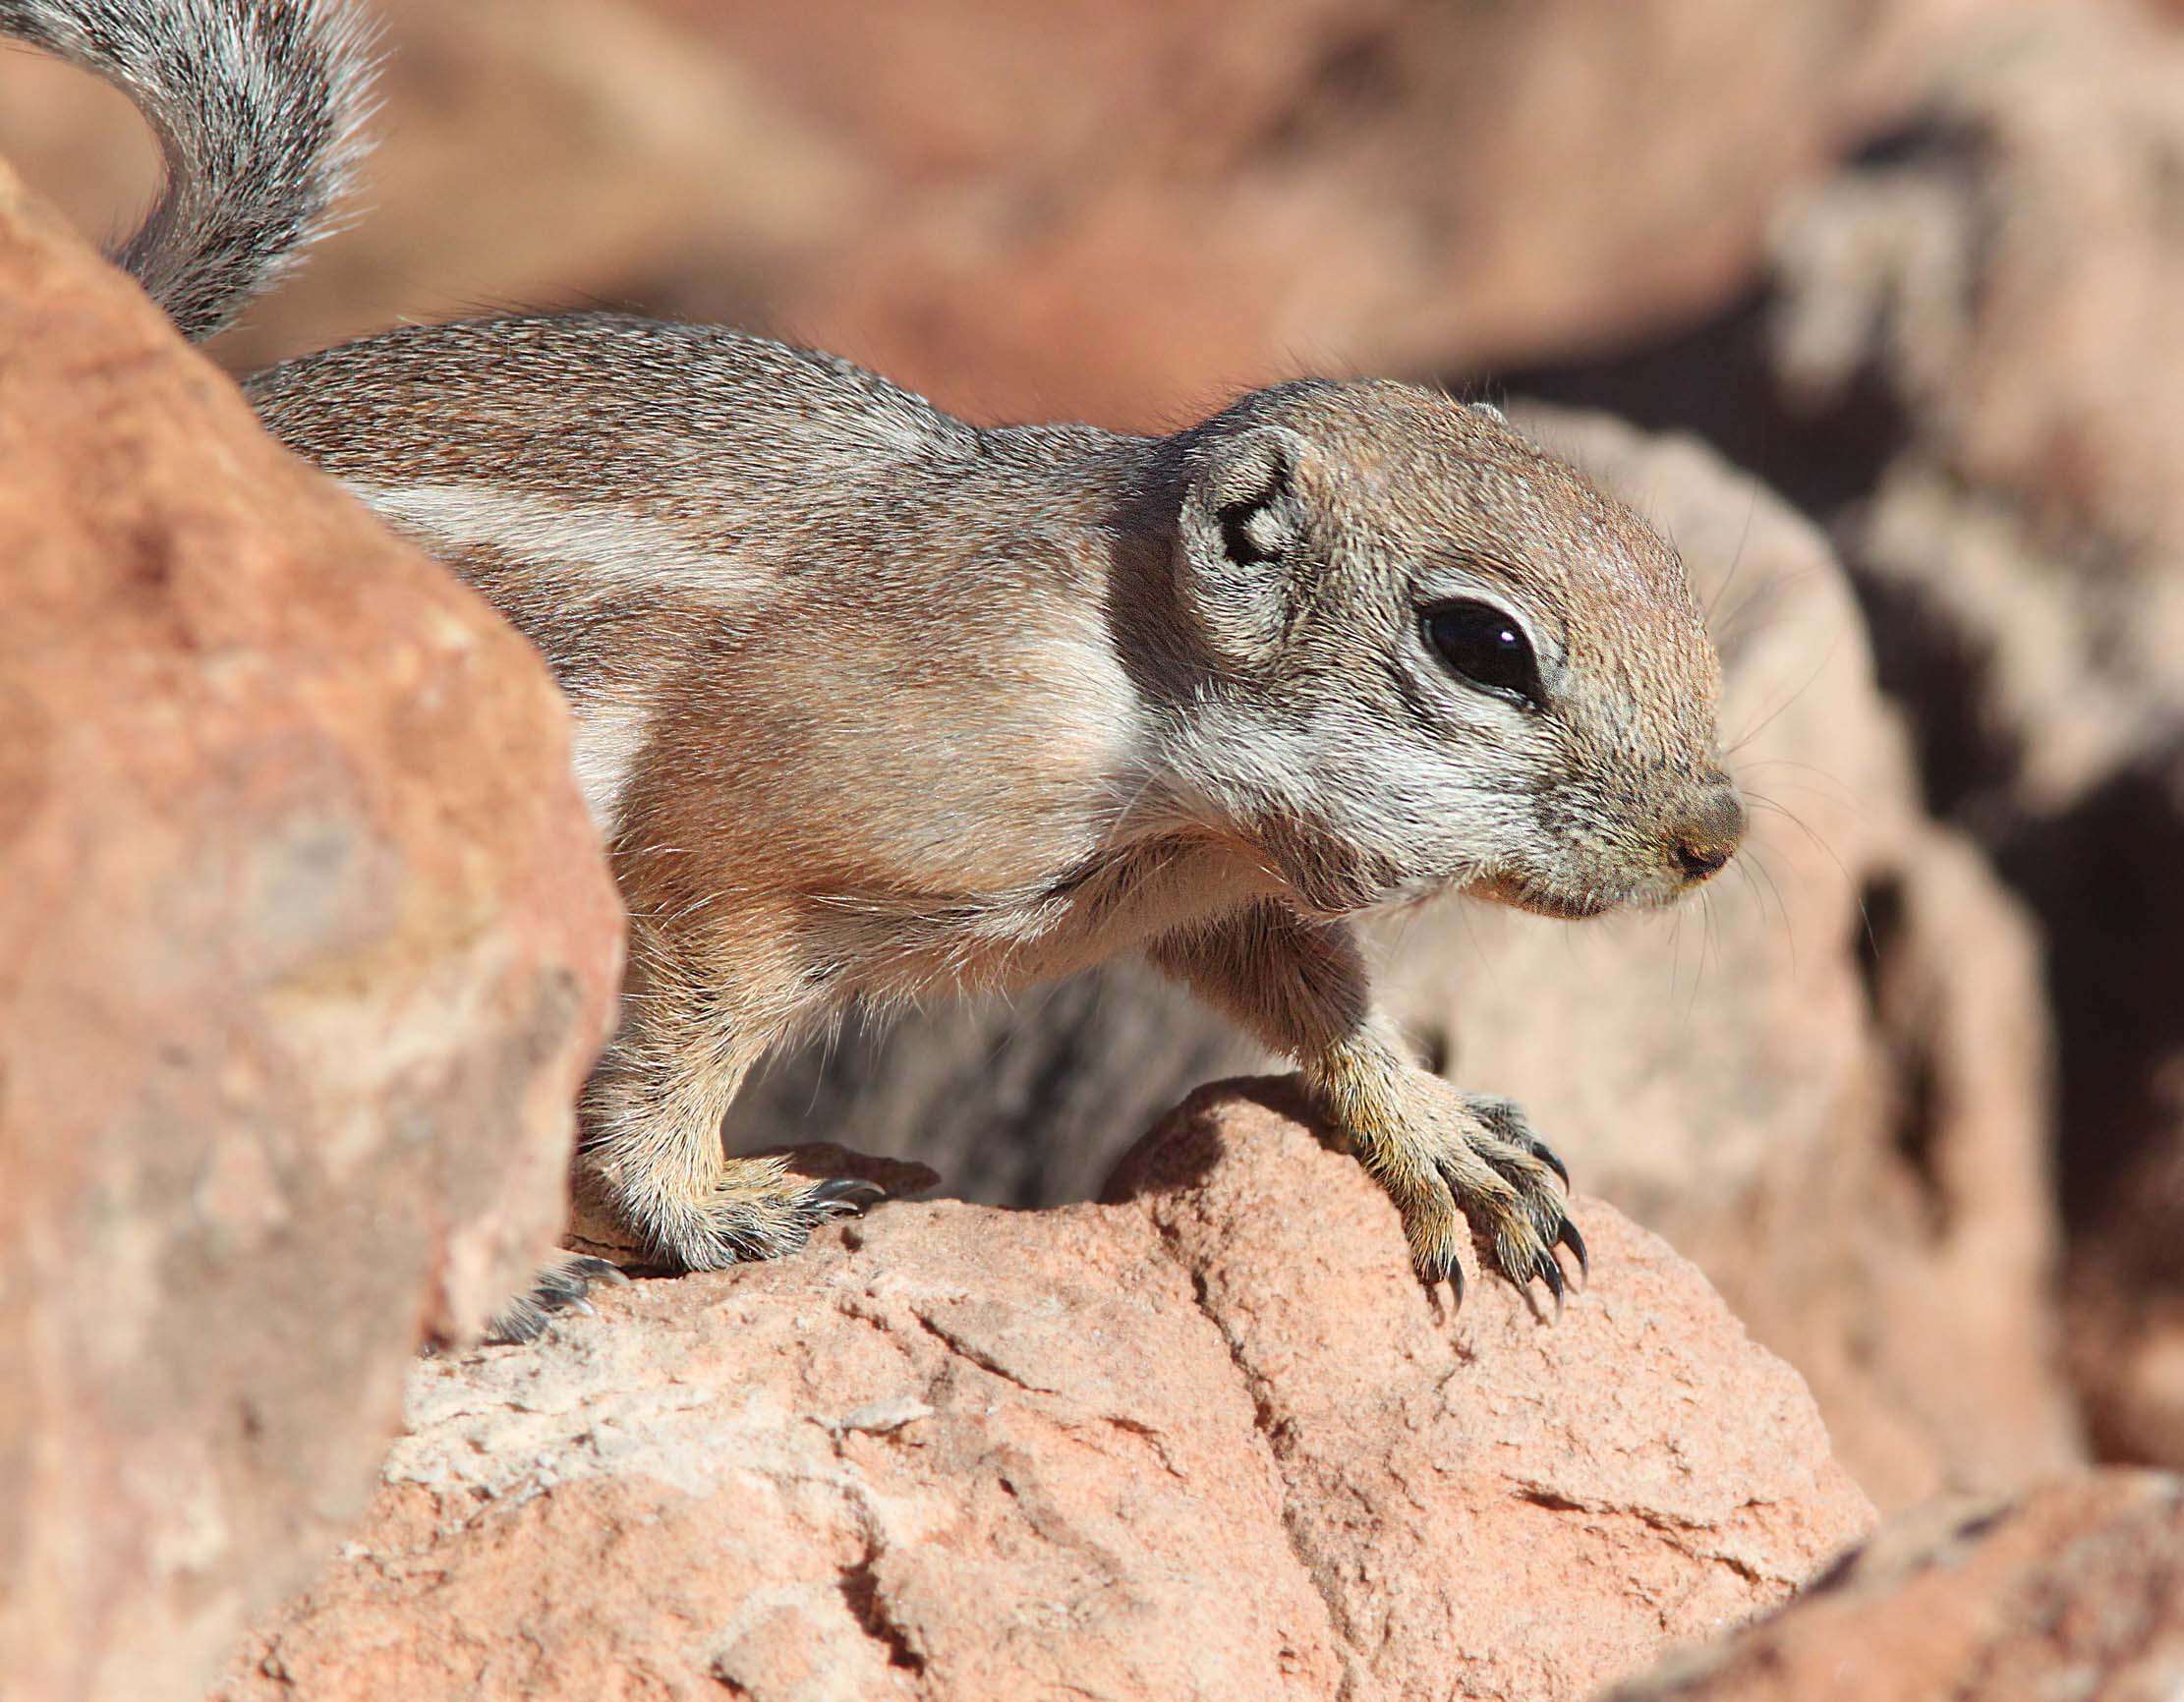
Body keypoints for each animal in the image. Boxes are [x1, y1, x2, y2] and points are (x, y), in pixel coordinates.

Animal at [0, 0, 1738, 1328]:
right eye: (1479, 644)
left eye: (1669, 570)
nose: (1712, 838)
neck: (1133, 694)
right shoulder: (739, 843)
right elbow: (673, 1050)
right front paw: (707, 1209)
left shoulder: (1215, 891)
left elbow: (1316, 997)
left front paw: (1441, 1132)